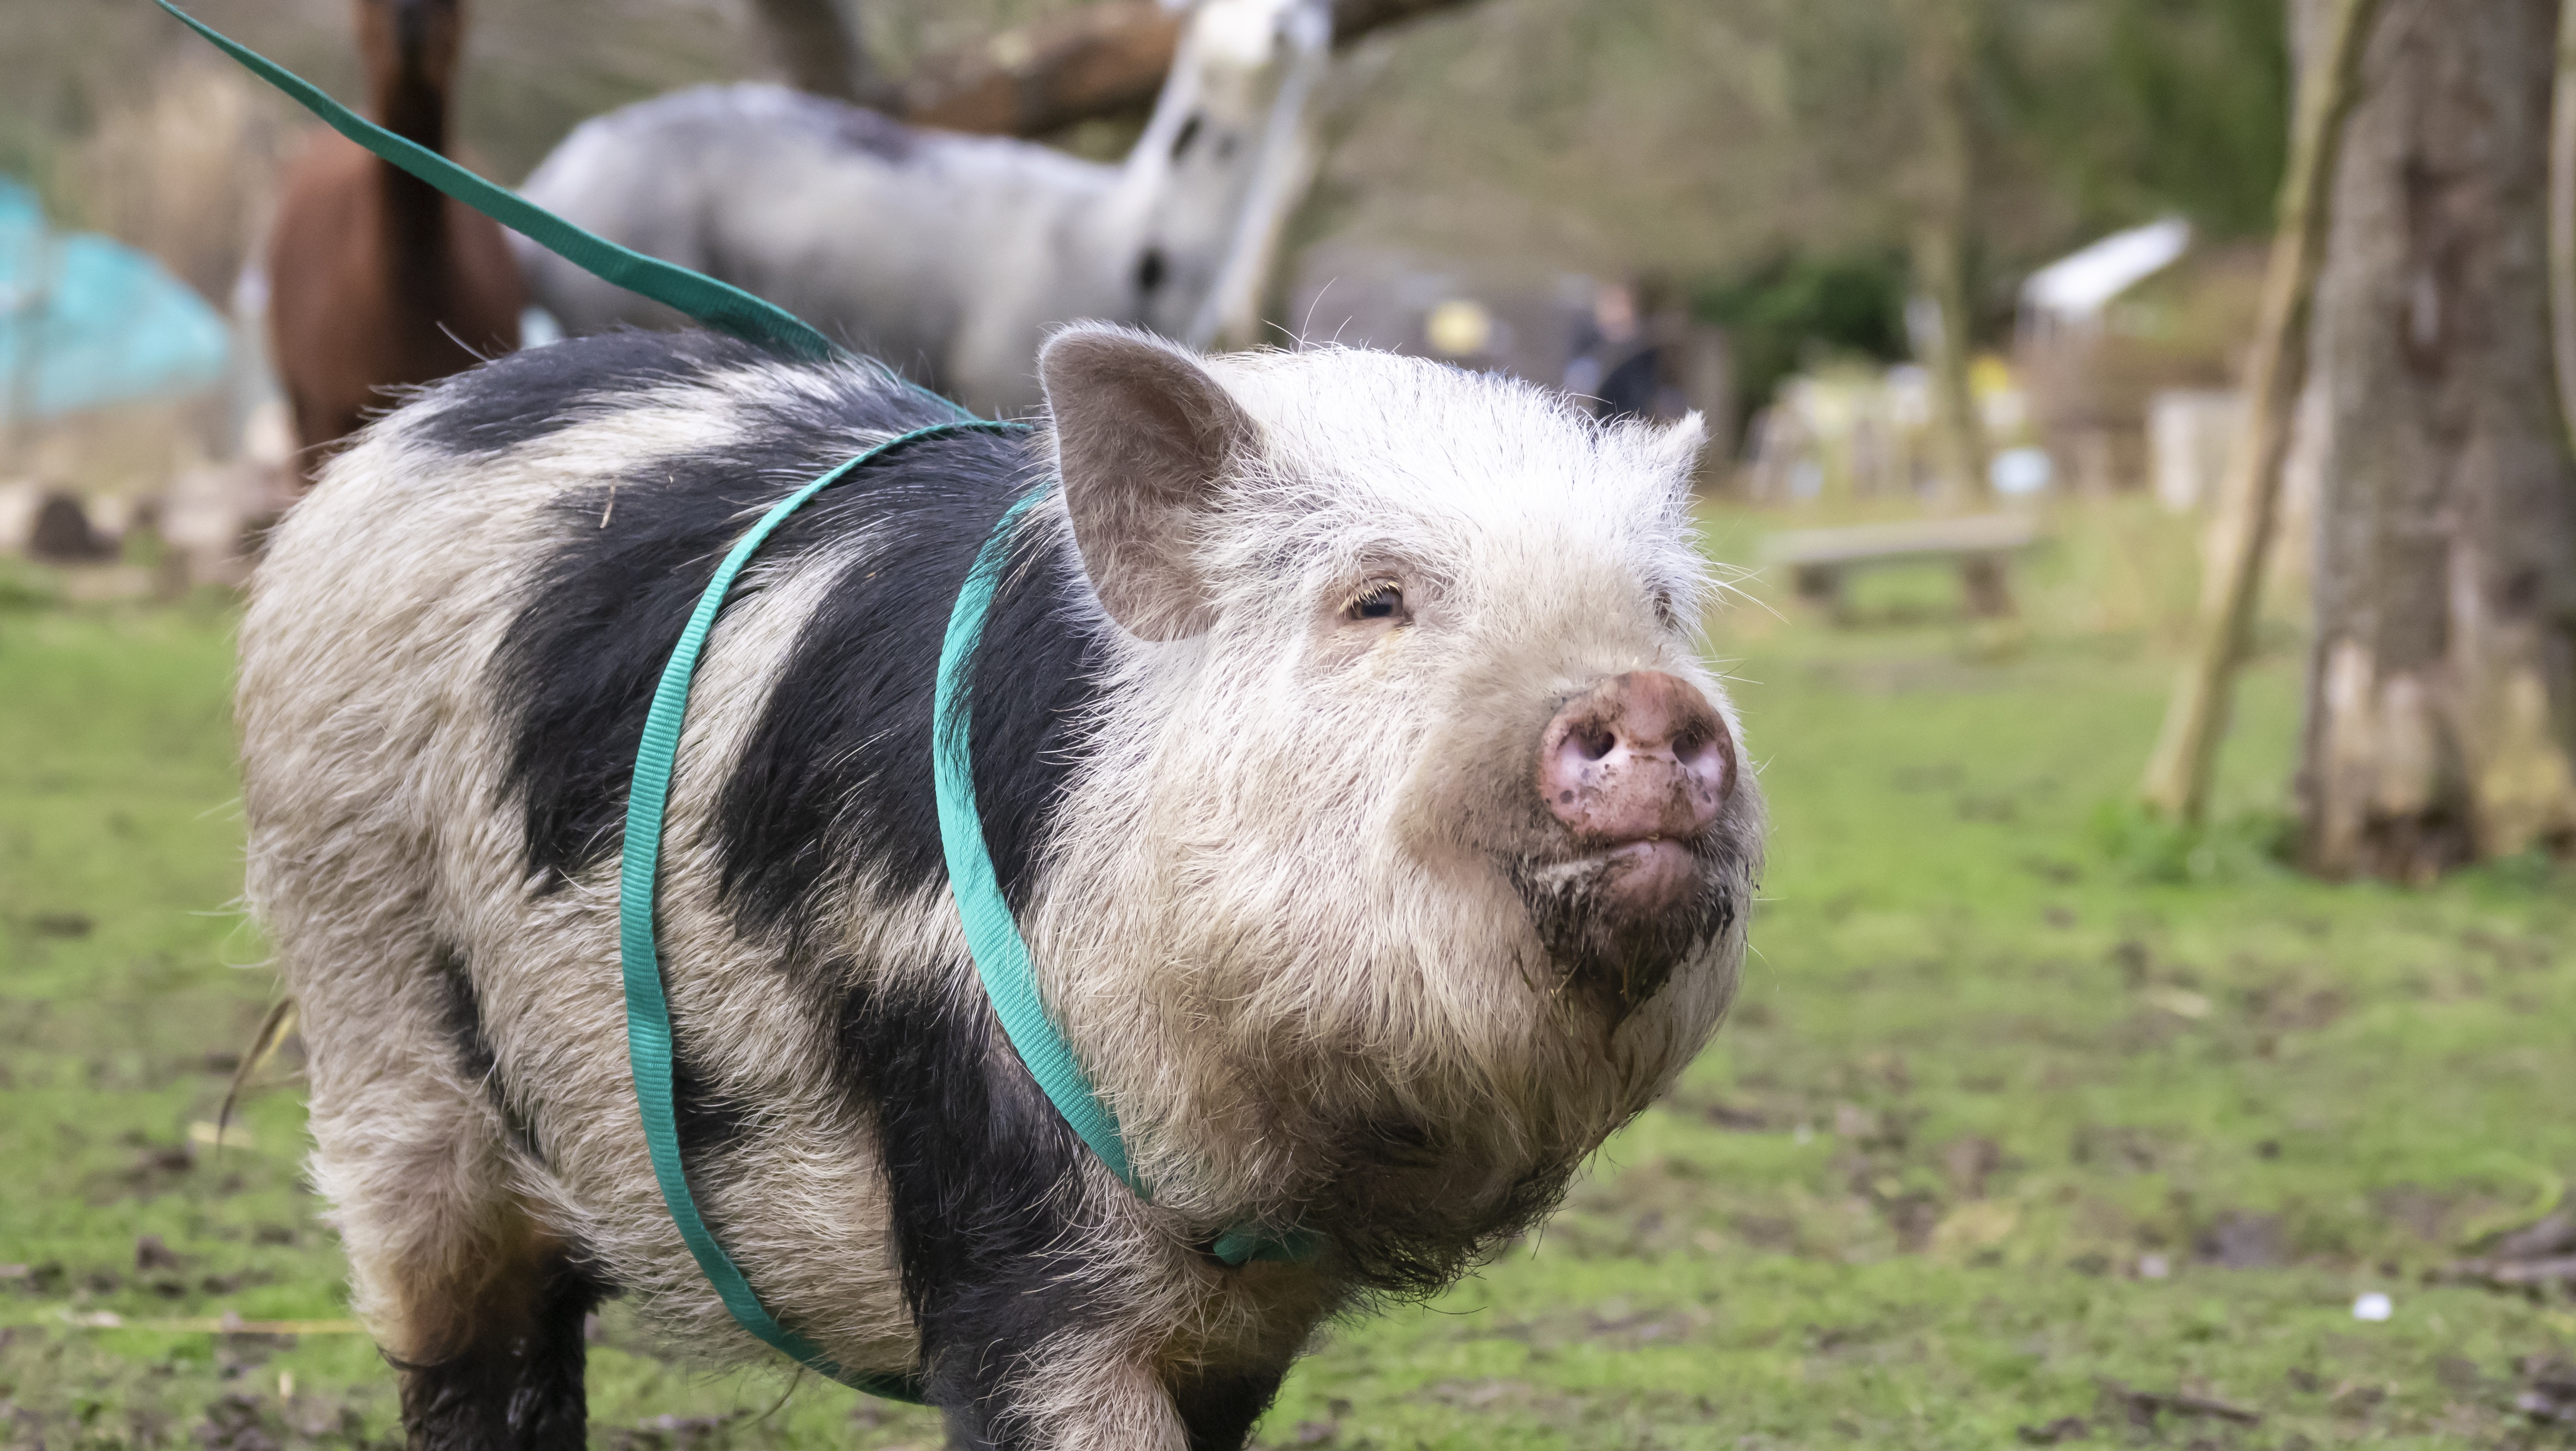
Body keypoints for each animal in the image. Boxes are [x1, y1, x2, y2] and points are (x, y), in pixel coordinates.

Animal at [234, 321, 1762, 1451]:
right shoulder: (997, 1218)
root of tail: (421, 419)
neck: (1282, 1140)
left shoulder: (1241, 1331)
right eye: (1374, 601)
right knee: (465, 1335)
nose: (1646, 700)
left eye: (1657, 609)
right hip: (367, 996)